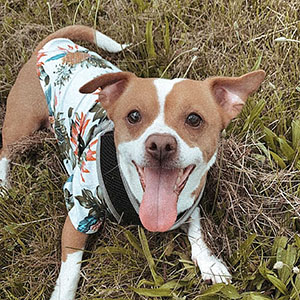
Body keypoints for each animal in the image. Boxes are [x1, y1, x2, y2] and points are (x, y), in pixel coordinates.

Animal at [0, 25, 264, 300]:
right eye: (134, 116)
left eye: (194, 119)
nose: (161, 145)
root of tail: (52, 44)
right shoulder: (79, 214)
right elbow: (70, 270)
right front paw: (63, 294)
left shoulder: (188, 205)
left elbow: (197, 230)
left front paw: (209, 261)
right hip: (23, 124)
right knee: (5, 150)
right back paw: (4, 185)